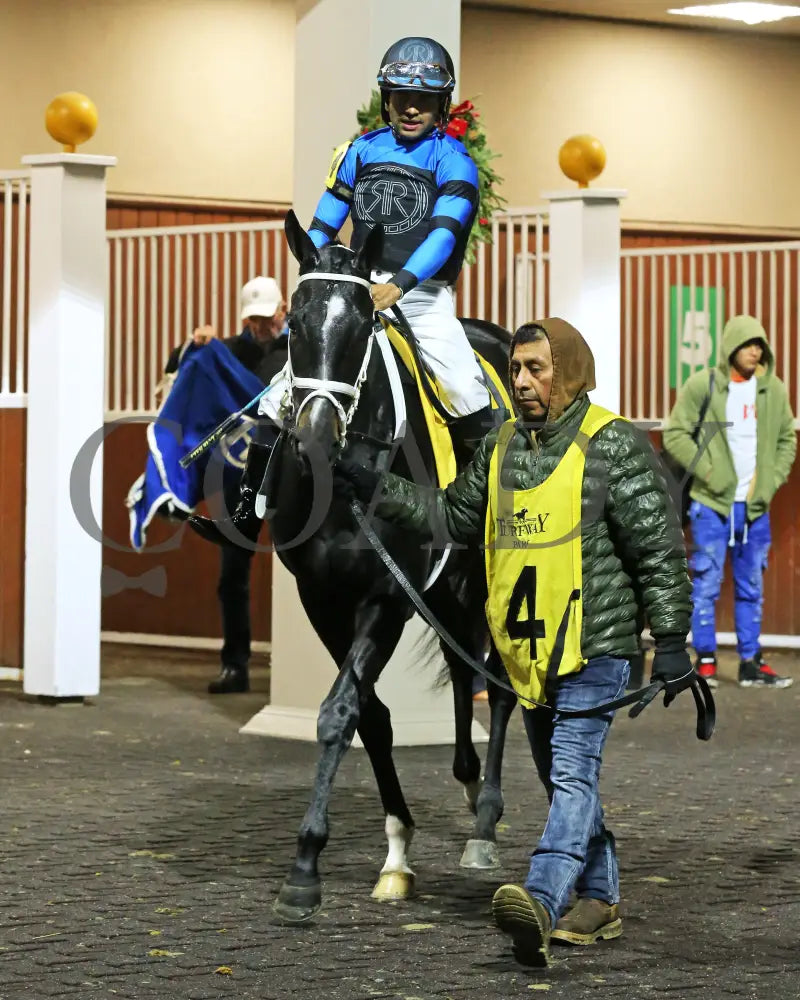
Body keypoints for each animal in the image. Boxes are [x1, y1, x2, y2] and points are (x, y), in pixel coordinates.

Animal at [268, 211, 520, 920]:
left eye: (359, 328)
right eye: (293, 327)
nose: (315, 436)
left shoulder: (386, 596)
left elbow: (338, 714)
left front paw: (306, 864)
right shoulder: (323, 599)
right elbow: (369, 716)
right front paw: (397, 851)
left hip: (488, 575)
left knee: (498, 679)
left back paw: (485, 821)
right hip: (449, 590)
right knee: (465, 672)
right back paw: (468, 785)